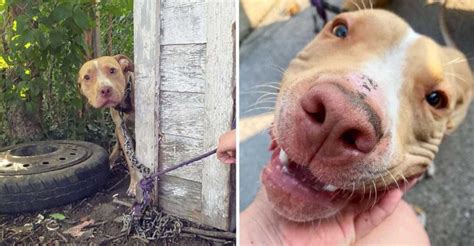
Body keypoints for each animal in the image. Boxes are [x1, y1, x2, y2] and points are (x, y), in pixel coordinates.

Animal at [77, 55, 139, 196]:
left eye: (112, 70)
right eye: (87, 77)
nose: (105, 90)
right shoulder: (122, 129)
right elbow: (130, 160)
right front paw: (135, 184)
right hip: (117, 131)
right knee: (118, 147)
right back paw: (110, 161)